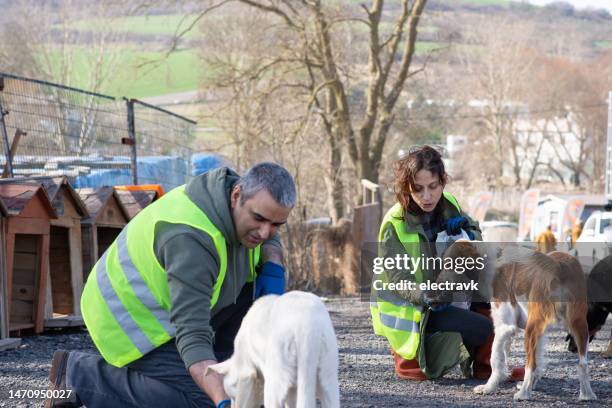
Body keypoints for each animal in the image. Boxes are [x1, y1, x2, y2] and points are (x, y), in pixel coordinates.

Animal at [206, 292, 340, 406]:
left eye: (233, 397)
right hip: (328, 383)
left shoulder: (247, 371)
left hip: (274, 386)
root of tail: (307, 328)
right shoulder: (293, 388)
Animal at [432, 242, 596, 402]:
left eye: (449, 264)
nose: (436, 288)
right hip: (579, 325)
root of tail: (558, 266)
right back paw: (587, 395)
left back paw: (523, 394)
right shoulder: (538, 331)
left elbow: (496, 359)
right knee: (583, 364)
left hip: (531, 330)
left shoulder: (504, 327)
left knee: (531, 365)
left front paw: (489, 387)